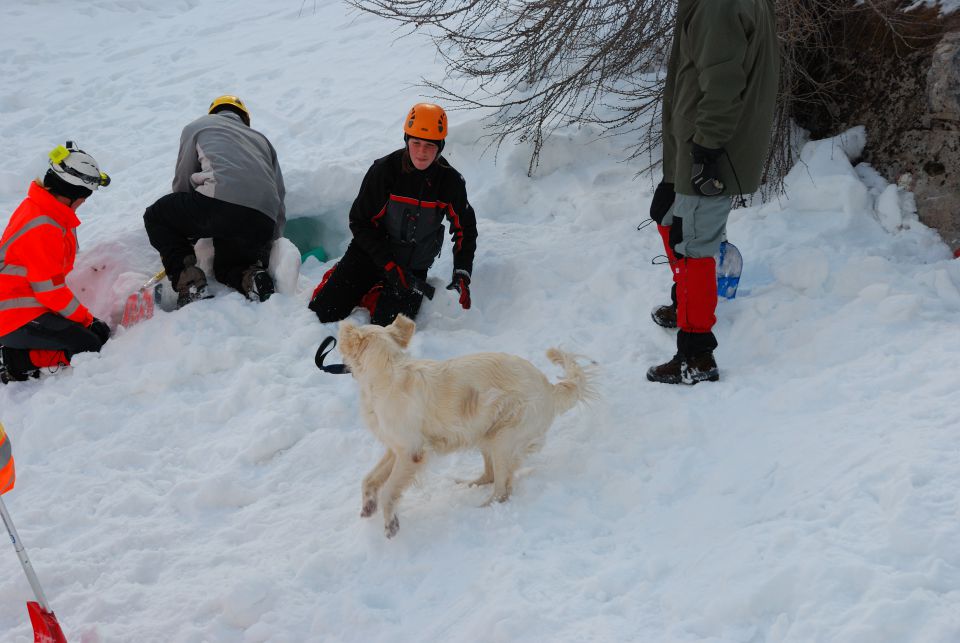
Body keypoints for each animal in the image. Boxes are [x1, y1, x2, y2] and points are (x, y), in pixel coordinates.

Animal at [338, 314, 592, 540]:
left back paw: (481, 510)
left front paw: (391, 524)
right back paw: (466, 486)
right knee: (490, 476)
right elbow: (369, 479)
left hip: (503, 439)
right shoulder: (395, 448)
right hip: (486, 434)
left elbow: (389, 489)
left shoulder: (411, 452)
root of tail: (549, 387)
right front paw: (368, 506)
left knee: (502, 489)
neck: (387, 372)